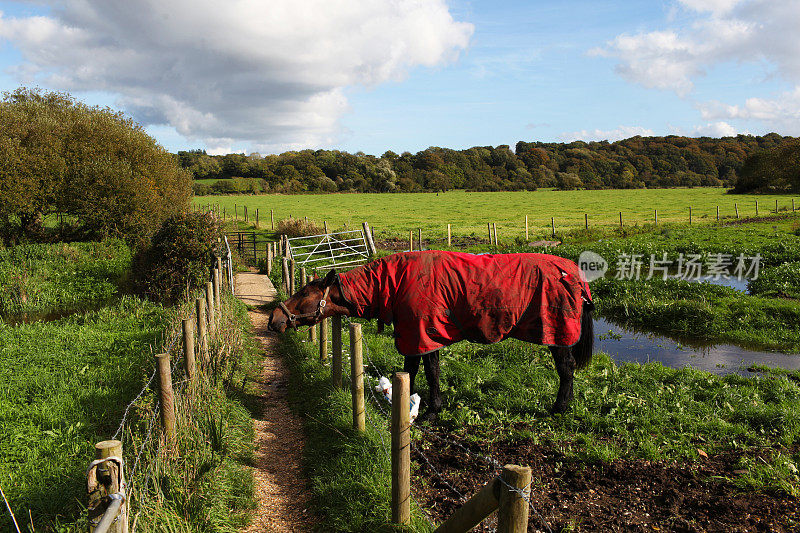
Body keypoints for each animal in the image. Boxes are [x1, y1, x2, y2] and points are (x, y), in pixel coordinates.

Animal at [268, 250, 592, 420]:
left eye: (303, 294)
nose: (274, 319)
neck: (394, 283)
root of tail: (573, 273)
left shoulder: (424, 333)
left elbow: (430, 372)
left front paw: (432, 411)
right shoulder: (417, 336)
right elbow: (412, 370)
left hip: (558, 334)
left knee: (566, 369)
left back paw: (559, 408)